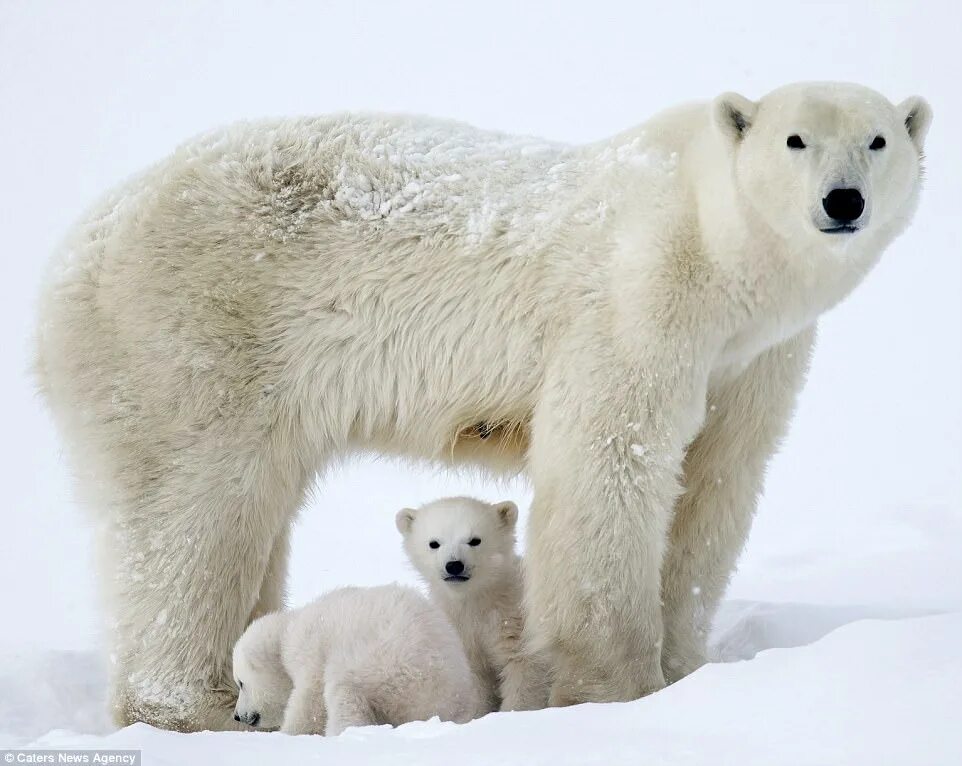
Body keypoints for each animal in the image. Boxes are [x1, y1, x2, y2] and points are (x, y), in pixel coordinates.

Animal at [33, 84, 928, 732]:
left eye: (879, 140)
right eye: (795, 140)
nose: (843, 201)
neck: (715, 246)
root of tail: (75, 252)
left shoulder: (752, 358)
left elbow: (717, 483)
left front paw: (684, 670)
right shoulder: (636, 302)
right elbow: (609, 459)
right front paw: (614, 689)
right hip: (189, 334)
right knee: (189, 516)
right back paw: (190, 710)